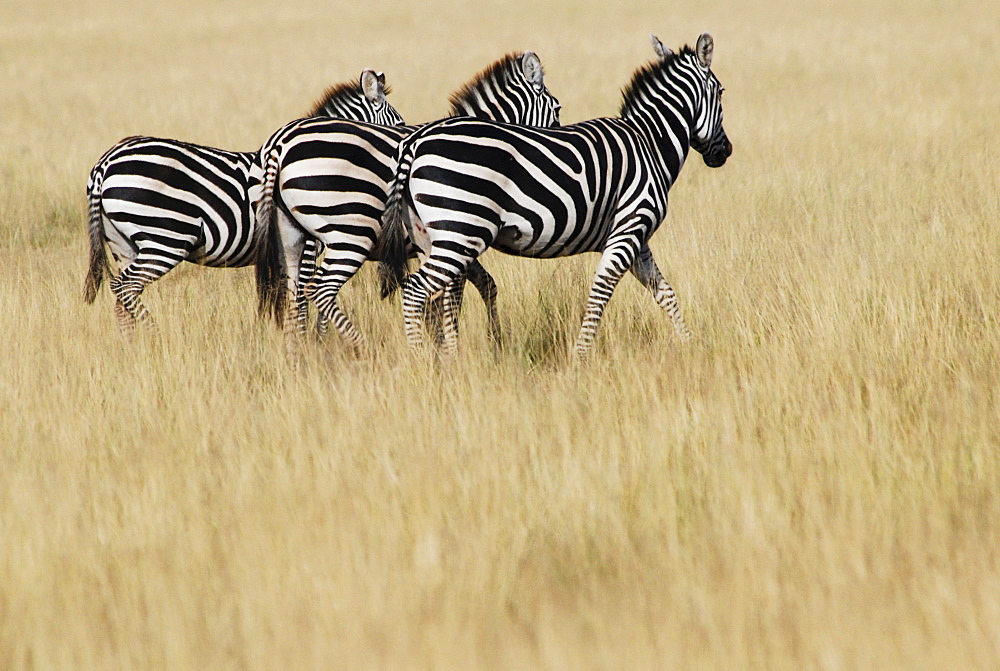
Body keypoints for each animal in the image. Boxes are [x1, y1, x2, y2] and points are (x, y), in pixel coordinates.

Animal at [82, 69, 402, 332]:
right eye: (398, 123)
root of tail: (105, 163)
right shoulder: (308, 247)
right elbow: (302, 304)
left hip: (123, 244)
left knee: (123, 301)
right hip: (164, 237)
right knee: (125, 288)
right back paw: (154, 335)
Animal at [252, 51, 564, 352]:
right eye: (557, 109)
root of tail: (280, 144)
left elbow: (473, 289)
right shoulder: (458, 234)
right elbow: (463, 293)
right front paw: (466, 344)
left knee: (296, 293)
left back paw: (301, 352)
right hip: (341, 231)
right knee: (312, 292)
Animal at [378, 32, 732, 356]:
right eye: (721, 92)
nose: (725, 151)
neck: (650, 143)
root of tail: (414, 142)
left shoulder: (636, 238)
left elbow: (665, 292)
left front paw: (690, 344)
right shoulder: (629, 229)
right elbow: (601, 291)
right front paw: (580, 356)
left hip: (430, 237)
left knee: (440, 295)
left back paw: (445, 358)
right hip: (462, 232)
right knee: (415, 291)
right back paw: (420, 360)